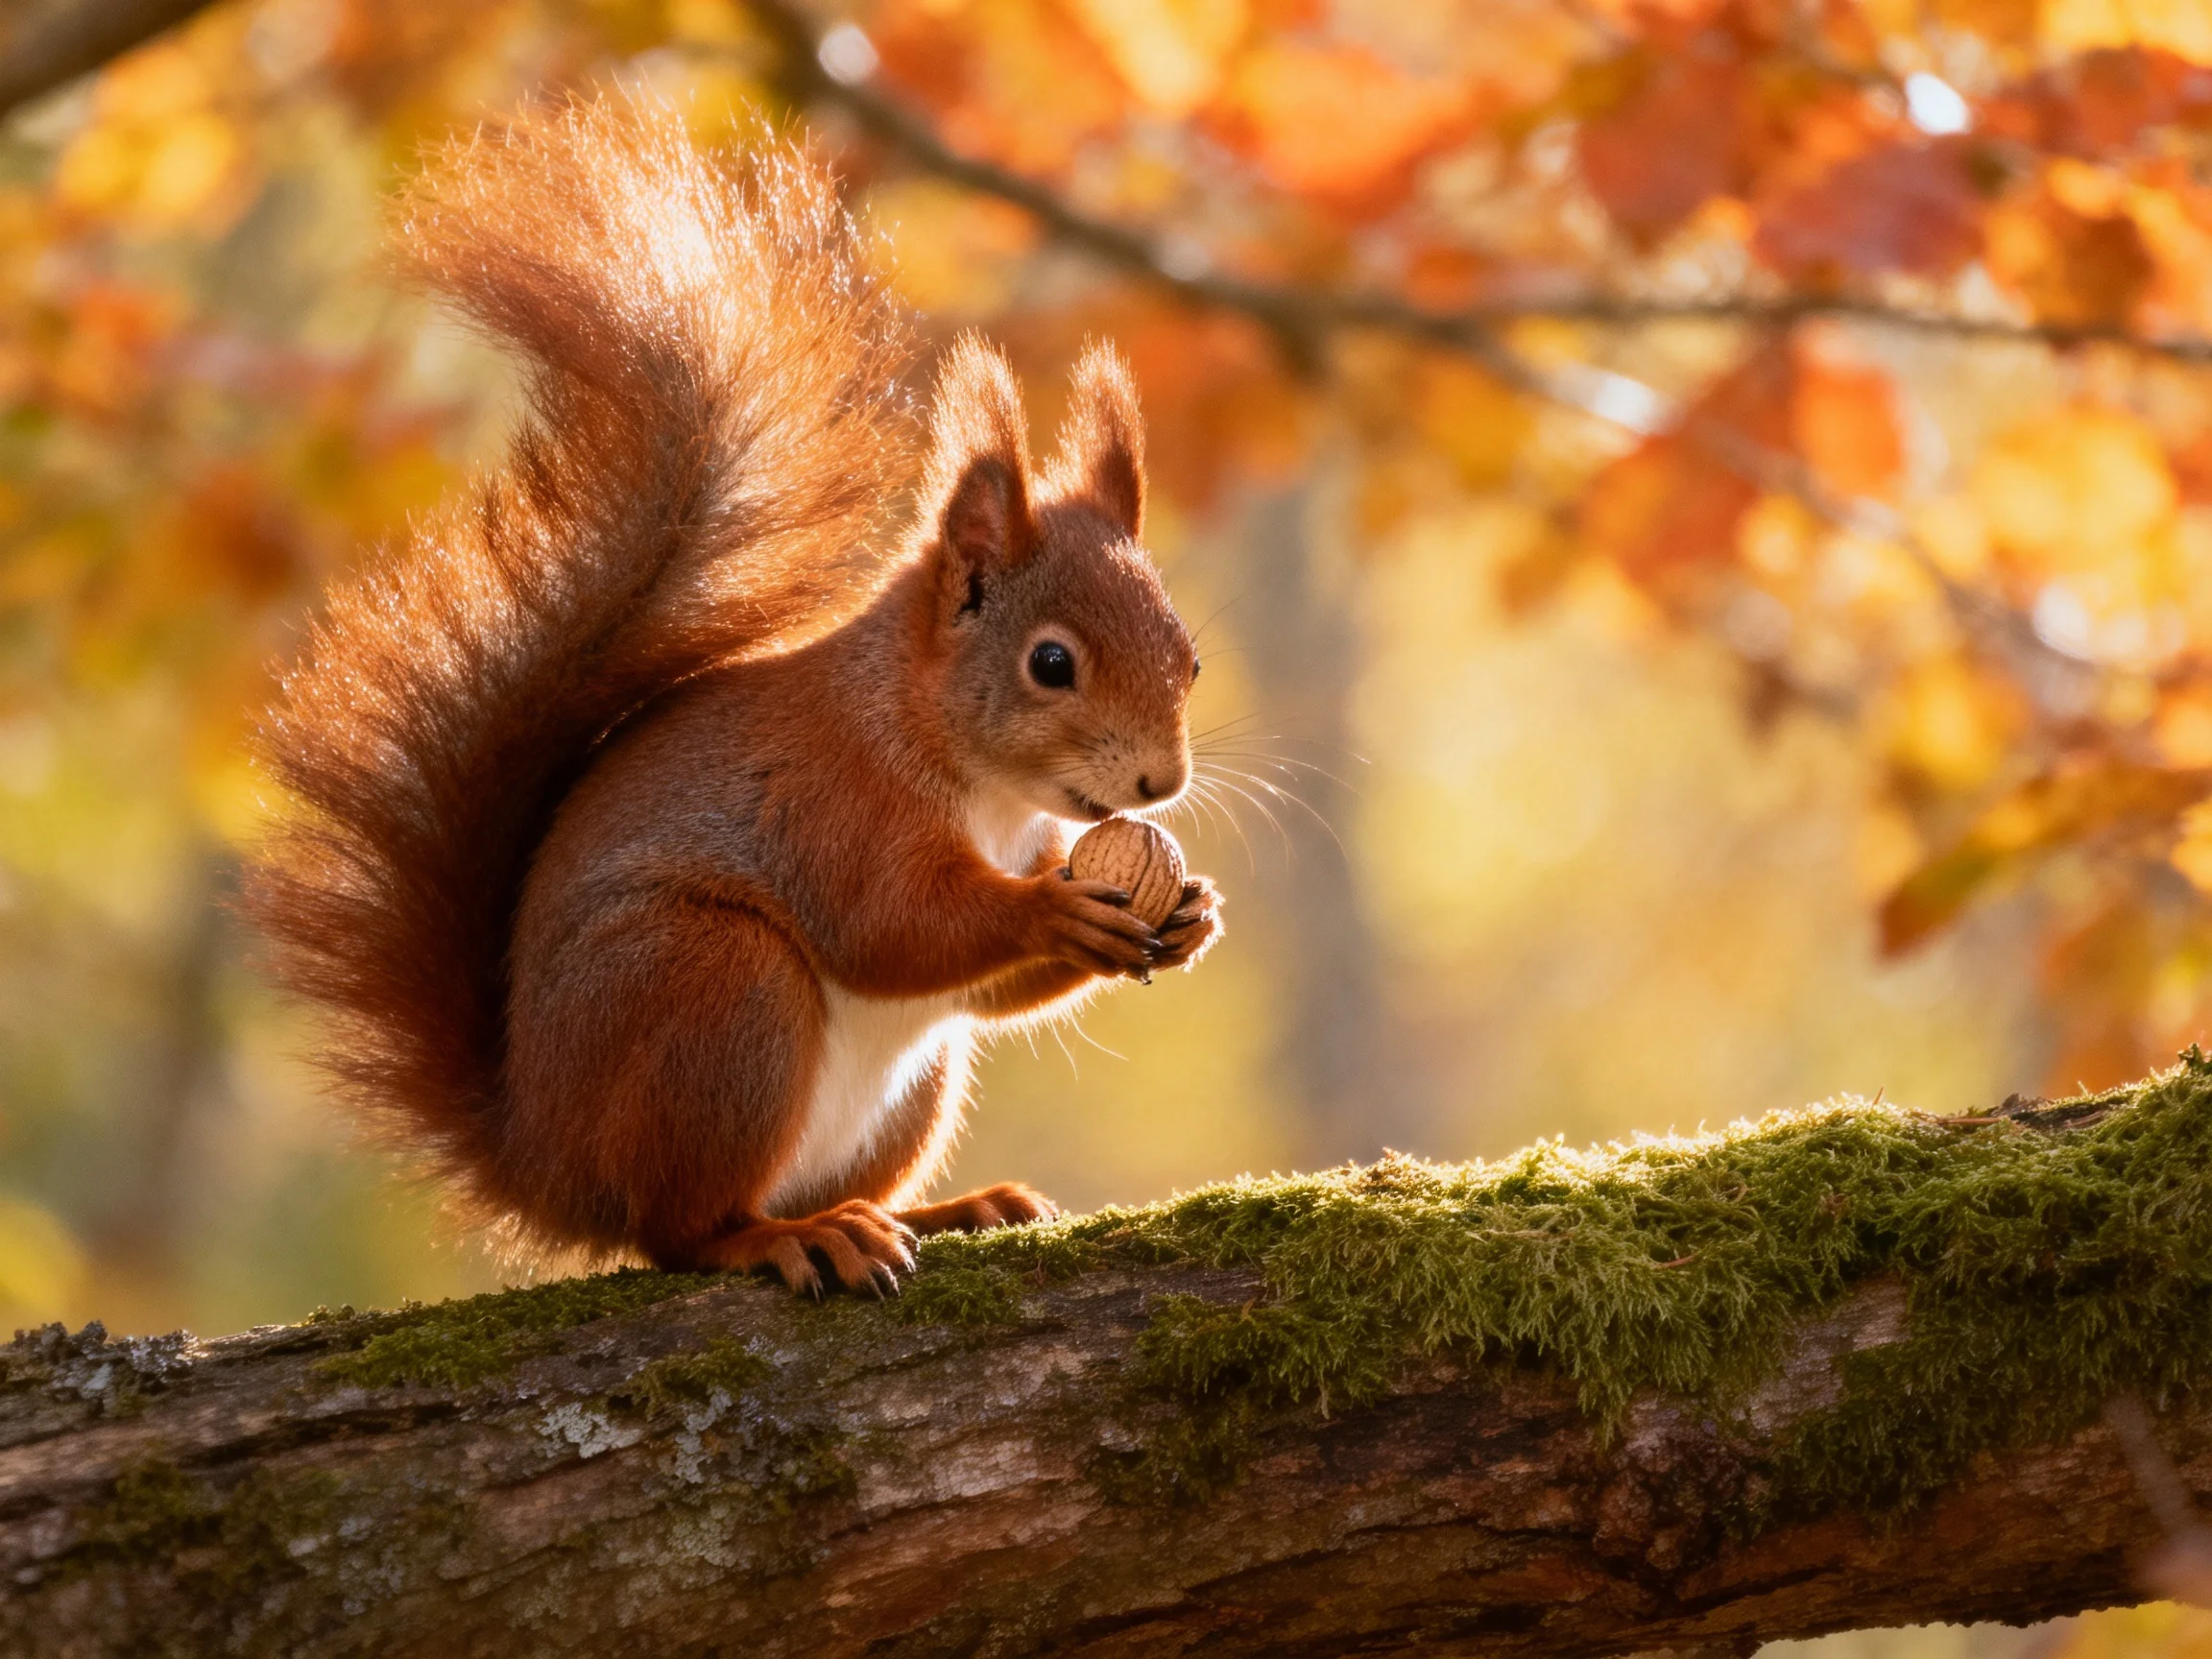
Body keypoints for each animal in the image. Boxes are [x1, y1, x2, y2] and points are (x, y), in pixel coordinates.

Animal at [245, 97, 1222, 1295]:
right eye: (1051, 664)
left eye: (1189, 659)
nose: (1161, 782)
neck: (961, 764)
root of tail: (544, 1162)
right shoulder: (832, 801)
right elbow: (894, 929)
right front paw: (1054, 911)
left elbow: (985, 988)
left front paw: (1189, 914)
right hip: (715, 990)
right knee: (683, 1229)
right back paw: (793, 1237)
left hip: (910, 1080)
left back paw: (943, 1210)